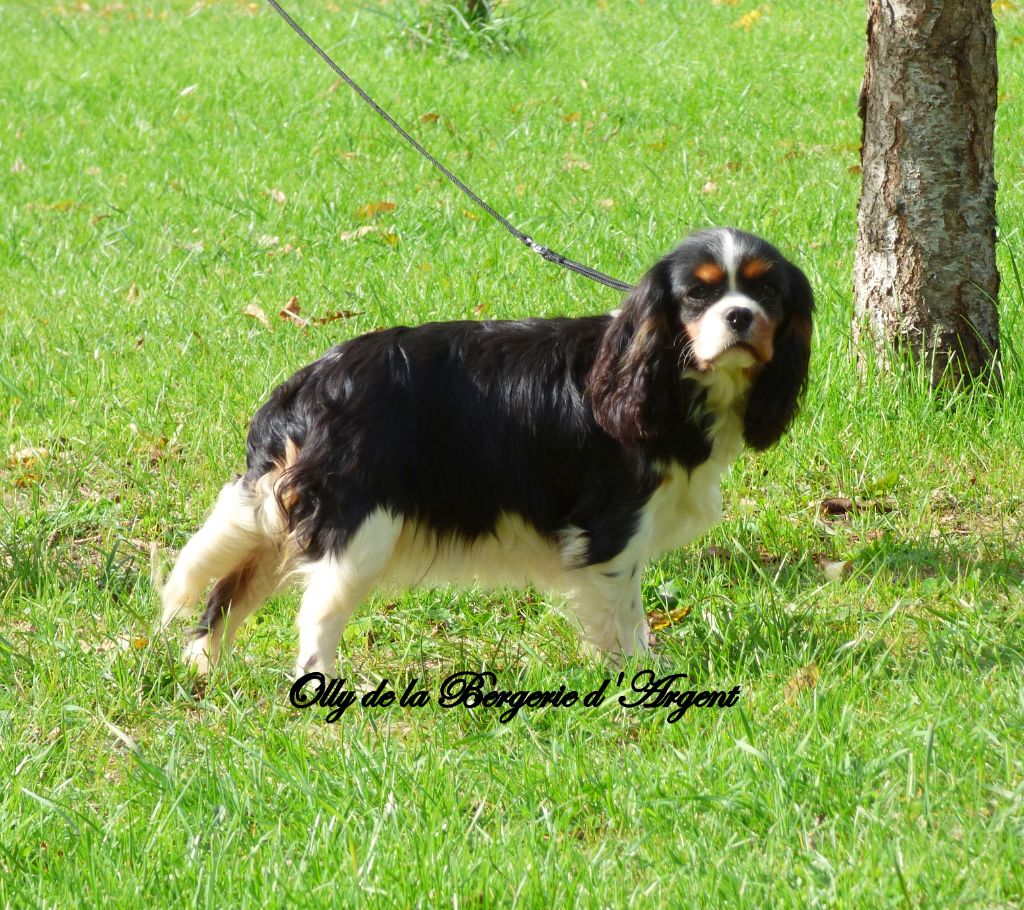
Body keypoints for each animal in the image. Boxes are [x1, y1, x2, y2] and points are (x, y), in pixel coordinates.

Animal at [159, 227, 813, 676]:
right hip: (360, 532)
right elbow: (626, 615)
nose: (740, 316)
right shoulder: (613, 529)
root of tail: (308, 383)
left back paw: (203, 669)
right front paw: (640, 675)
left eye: (766, 291)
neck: (663, 375)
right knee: (317, 617)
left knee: (226, 595)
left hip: (285, 525)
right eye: (697, 295)